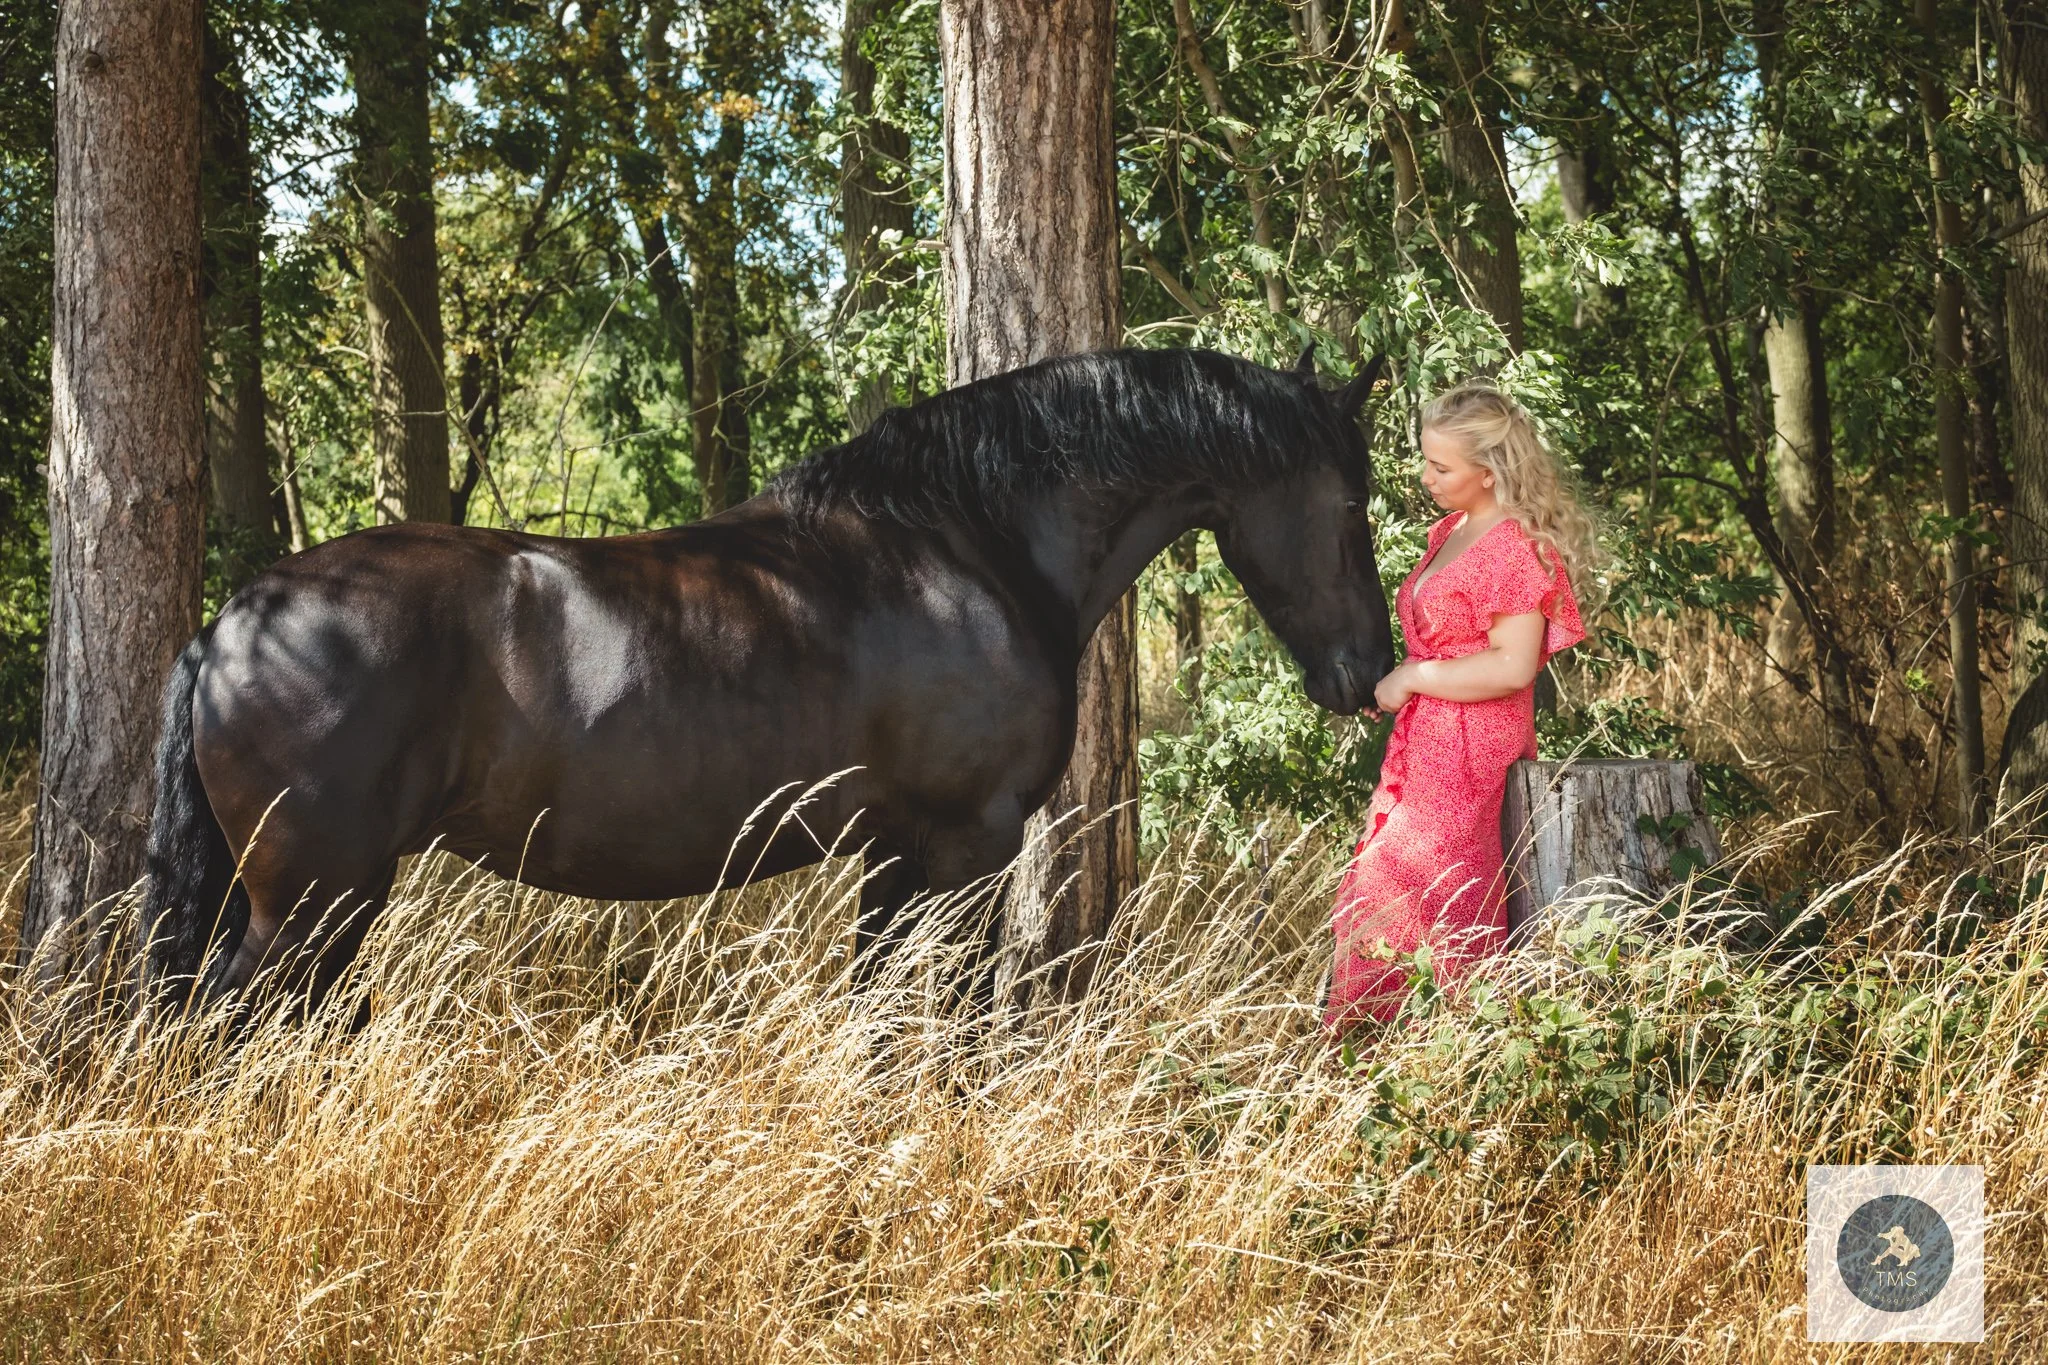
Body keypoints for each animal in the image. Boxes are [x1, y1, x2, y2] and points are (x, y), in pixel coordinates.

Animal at [142, 344, 1396, 1011]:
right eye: (1351, 503)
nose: (1366, 673)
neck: (967, 544)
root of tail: (235, 625)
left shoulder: (894, 855)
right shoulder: (969, 846)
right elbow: (949, 1021)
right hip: (311, 899)